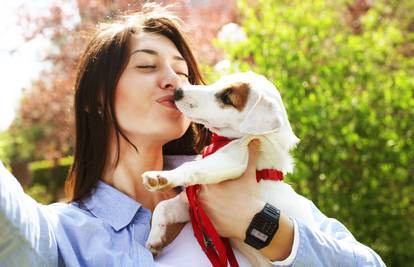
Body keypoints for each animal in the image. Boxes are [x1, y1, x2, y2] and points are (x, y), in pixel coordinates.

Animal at [142, 72, 314, 266]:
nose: (177, 91)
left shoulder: (232, 160)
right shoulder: (191, 206)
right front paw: (155, 239)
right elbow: (163, 207)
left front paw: (161, 176)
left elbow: (192, 166)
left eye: (227, 98)